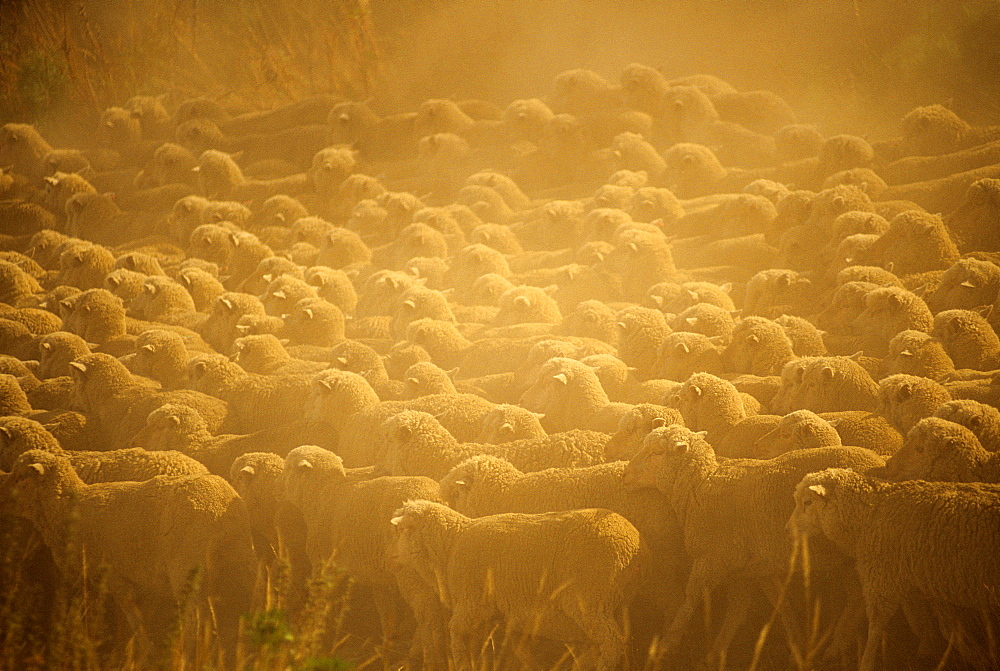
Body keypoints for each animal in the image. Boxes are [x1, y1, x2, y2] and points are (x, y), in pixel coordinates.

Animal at [386, 496, 644, 671]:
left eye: (400, 531)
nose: (390, 559)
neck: (450, 545)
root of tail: (634, 545)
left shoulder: (472, 604)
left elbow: (457, 636)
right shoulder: (493, 613)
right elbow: (489, 647)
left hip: (591, 600)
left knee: (611, 642)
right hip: (618, 602)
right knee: (619, 641)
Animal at [624, 426, 884, 668]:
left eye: (657, 452)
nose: (626, 472)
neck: (700, 485)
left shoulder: (712, 558)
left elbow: (690, 601)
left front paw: (666, 647)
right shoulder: (753, 568)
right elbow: (768, 605)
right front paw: (795, 644)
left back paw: (838, 645)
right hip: (845, 557)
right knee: (856, 597)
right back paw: (838, 645)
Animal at [788, 468, 1000, 671]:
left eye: (807, 502)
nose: (788, 529)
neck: (870, 513)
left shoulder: (881, 578)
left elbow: (876, 625)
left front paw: (866, 663)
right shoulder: (932, 582)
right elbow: (951, 629)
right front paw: (980, 658)